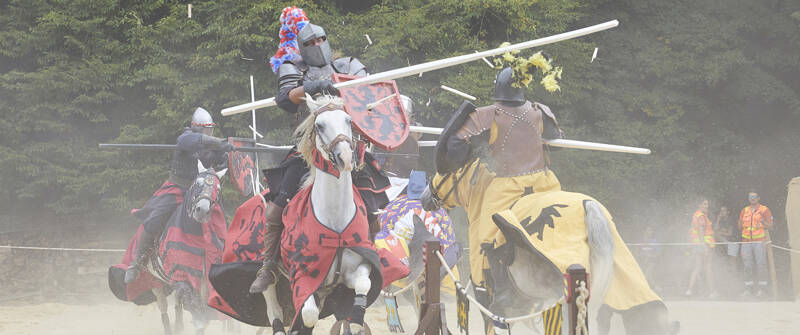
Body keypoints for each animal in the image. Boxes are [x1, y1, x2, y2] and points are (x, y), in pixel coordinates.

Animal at [109, 161, 228, 334]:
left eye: (217, 189)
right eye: (197, 183)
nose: (202, 210)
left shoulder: (204, 283)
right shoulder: (182, 278)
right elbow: (198, 313)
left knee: (178, 306)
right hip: (155, 283)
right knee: (164, 309)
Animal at [262, 95, 376, 335]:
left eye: (349, 121)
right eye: (320, 125)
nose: (345, 158)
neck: (335, 220)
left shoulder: (356, 269)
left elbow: (363, 285)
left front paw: (356, 318)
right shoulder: (303, 277)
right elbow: (308, 314)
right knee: (273, 306)